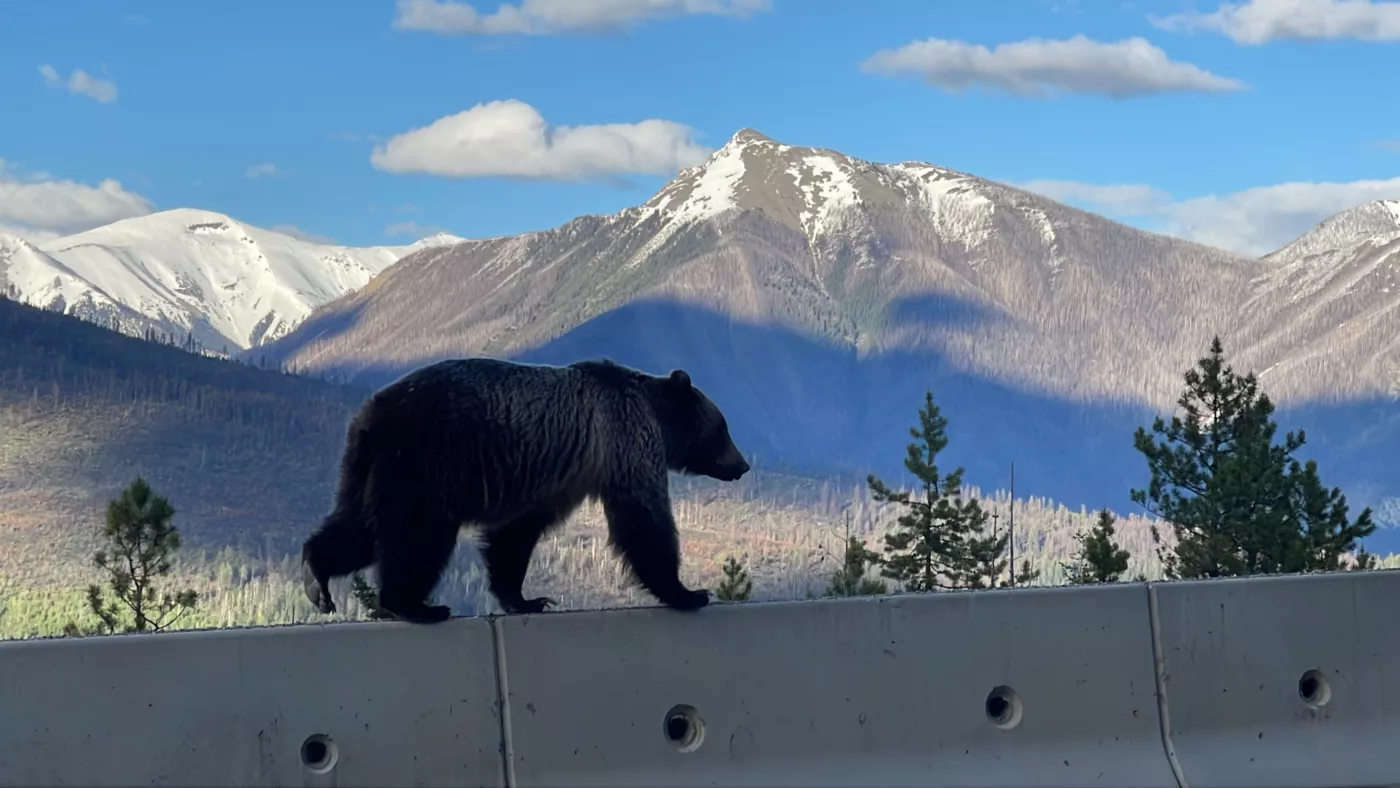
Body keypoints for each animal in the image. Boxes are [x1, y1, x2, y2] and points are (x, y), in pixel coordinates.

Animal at [299, 355, 750, 624]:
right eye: (723, 428)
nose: (743, 465)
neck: (656, 415)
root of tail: (372, 414)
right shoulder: (625, 443)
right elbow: (643, 522)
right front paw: (687, 592)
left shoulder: (558, 476)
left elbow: (515, 534)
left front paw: (525, 599)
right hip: (427, 462)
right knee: (418, 537)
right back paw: (414, 604)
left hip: (368, 468)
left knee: (358, 527)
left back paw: (316, 576)